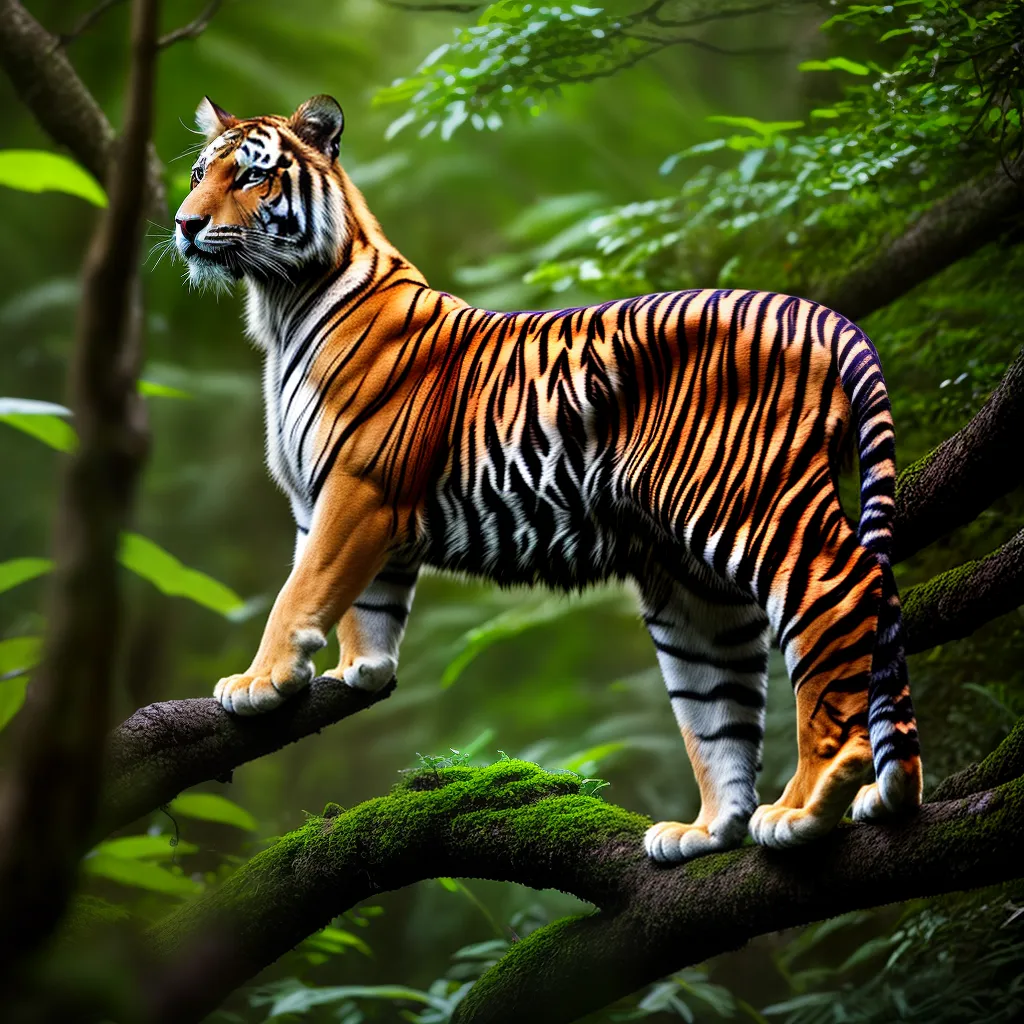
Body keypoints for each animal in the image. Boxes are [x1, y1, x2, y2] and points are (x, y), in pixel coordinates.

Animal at [172, 94, 922, 862]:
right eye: (200, 173)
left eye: (251, 176)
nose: (185, 224)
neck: (281, 304)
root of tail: (817, 310)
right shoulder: (324, 501)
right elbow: (354, 597)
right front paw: (361, 666)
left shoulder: (360, 486)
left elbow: (298, 591)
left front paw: (260, 680)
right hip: (687, 585)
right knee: (719, 705)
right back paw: (720, 828)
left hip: (750, 501)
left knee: (842, 593)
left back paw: (804, 805)